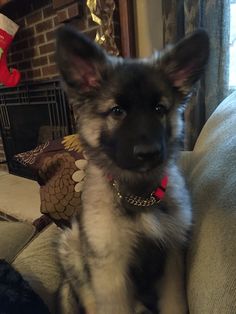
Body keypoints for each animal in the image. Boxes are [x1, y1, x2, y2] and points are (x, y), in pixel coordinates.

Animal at [56, 27, 209, 314]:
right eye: (117, 111)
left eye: (160, 109)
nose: (148, 153)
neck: (139, 194)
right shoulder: (109, 269)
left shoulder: (171, 259)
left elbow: (174, 303)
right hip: (72, 245)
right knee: (89, 298)